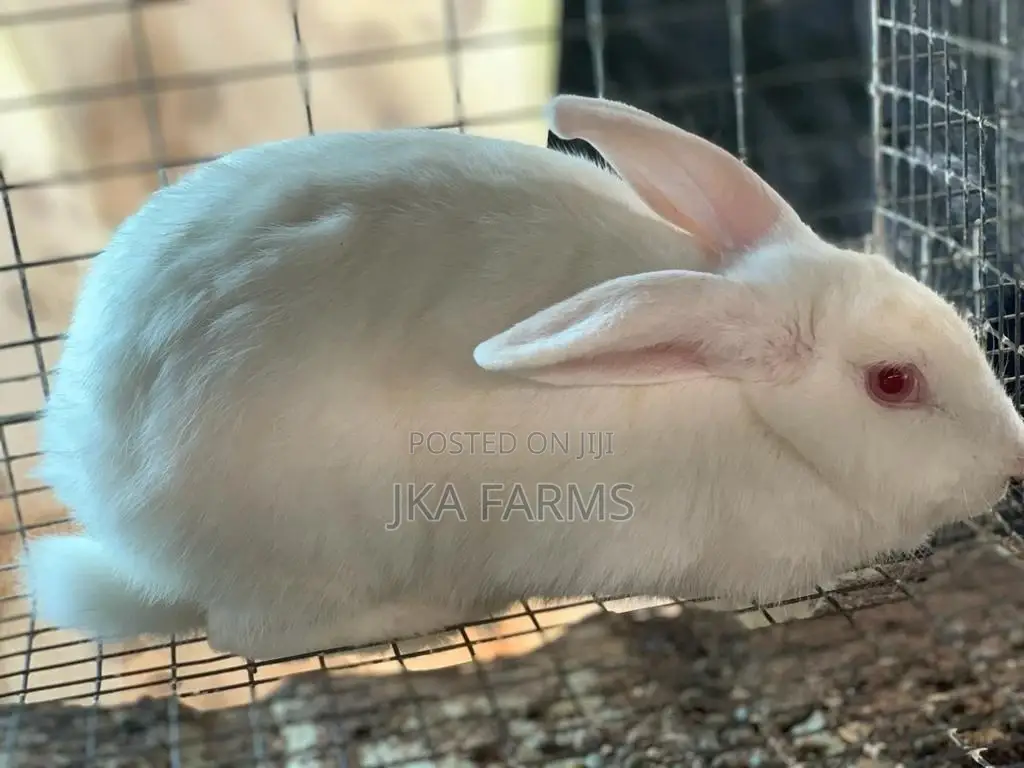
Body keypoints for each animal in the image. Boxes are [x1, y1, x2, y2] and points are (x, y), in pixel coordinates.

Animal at [18, 94, 1024, 661]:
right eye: (892, 383)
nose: (1013, 458)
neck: (762, 418)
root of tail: (113, 513)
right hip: (320, 545)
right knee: (254, 634)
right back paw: (425, 611)